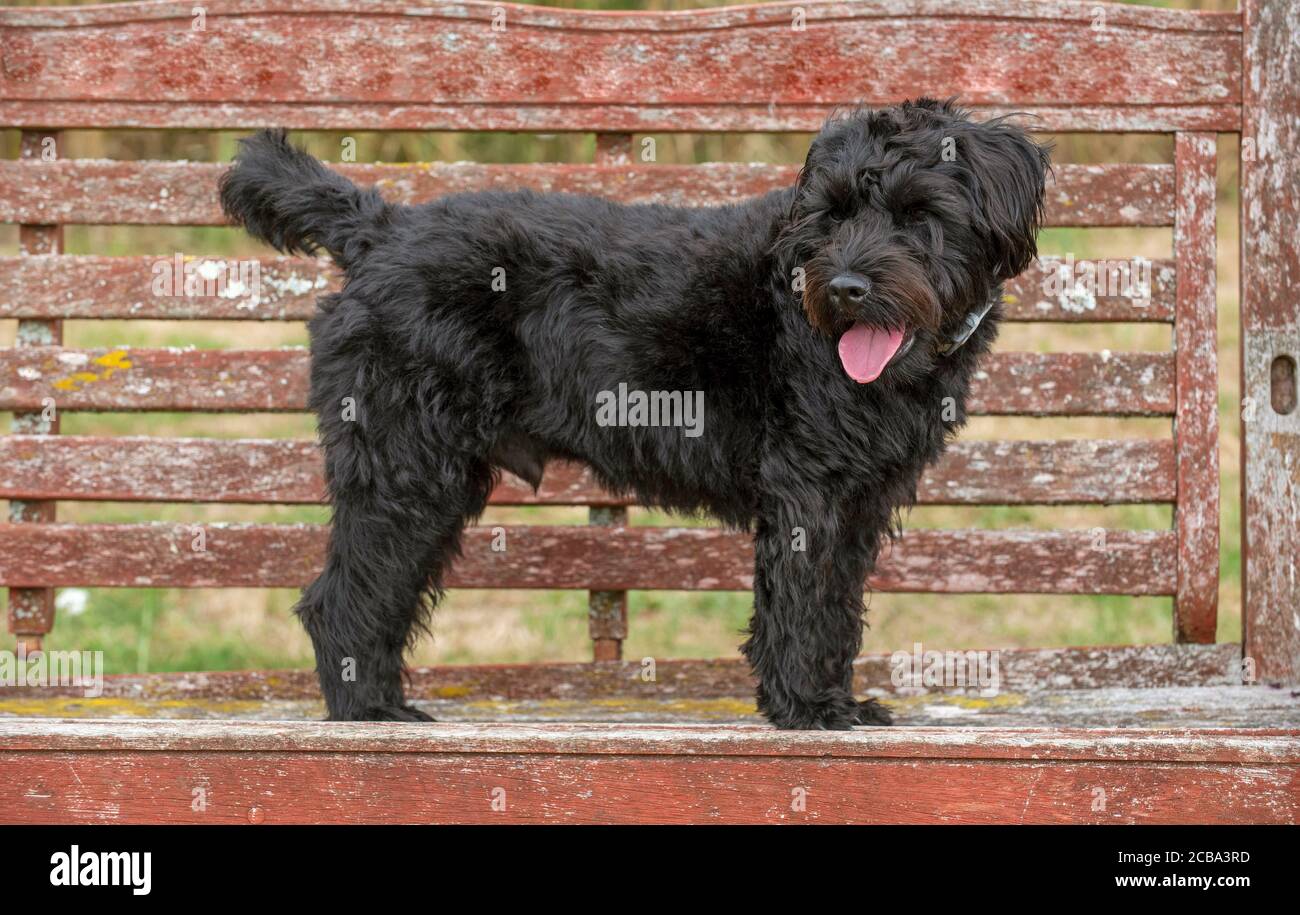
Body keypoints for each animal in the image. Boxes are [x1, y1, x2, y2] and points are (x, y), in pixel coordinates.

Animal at [223, 100, 1050, 727]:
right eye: (834, 211)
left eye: (918, 213)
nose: (845, 286)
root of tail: (379, 228)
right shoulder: (808, 489)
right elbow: (803, 600)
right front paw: (807, 707)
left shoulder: (859, 500)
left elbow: (837, 606)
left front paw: (827, 697)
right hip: (407, 468)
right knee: (342, 598)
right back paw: (369, 712)